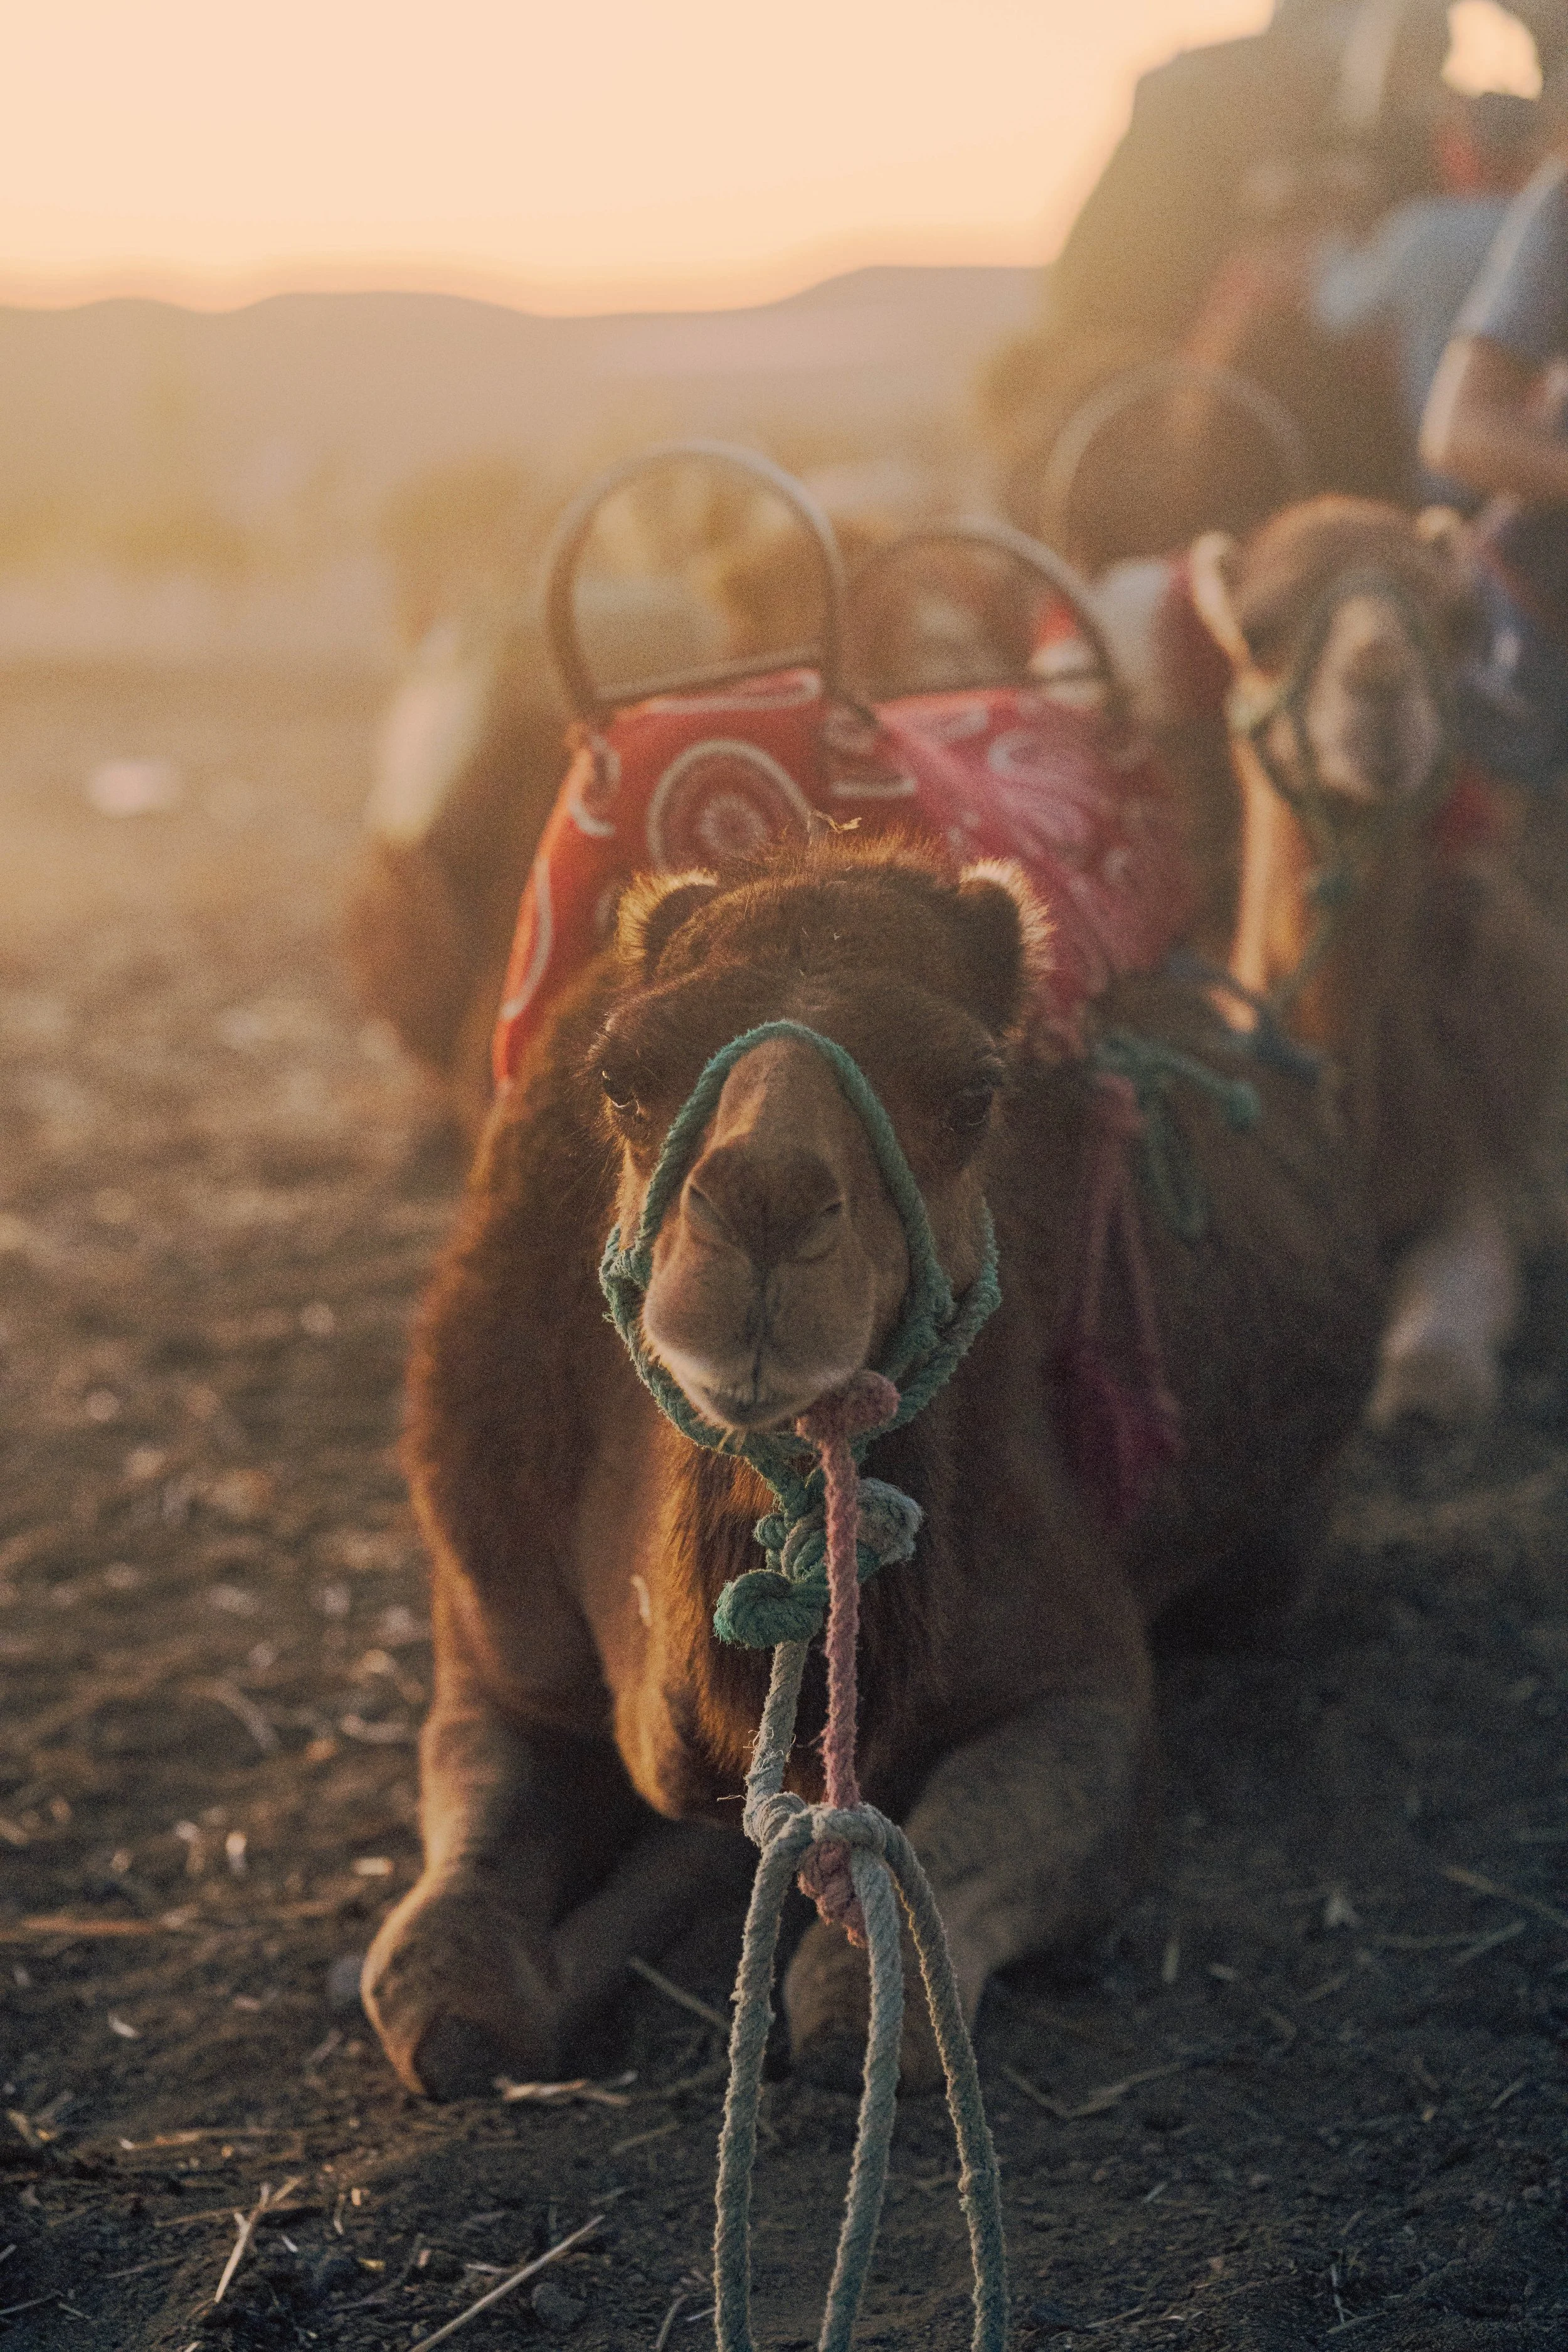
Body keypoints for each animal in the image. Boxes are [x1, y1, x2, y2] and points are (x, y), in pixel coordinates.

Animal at [361, 826, 1385, 2102]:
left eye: (973, 1093)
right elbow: (441, 1971)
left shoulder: (1084, 1690)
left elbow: (873, 1982)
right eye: (621, 1075)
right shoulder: (498, 1651)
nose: (763, 1202)